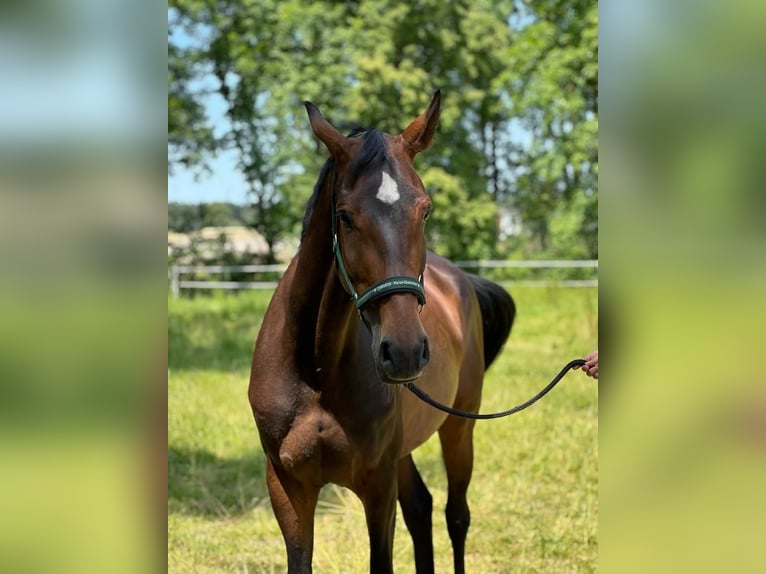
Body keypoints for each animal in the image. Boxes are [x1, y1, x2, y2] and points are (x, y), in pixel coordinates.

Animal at [250, 92, 516, 572]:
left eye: (425, 210)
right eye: (345, 217)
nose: (405, 351)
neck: (315, 372)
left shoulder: (377, 485)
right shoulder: (287, 487)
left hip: (458, 428)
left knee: (456, 516)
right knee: (421, 508)